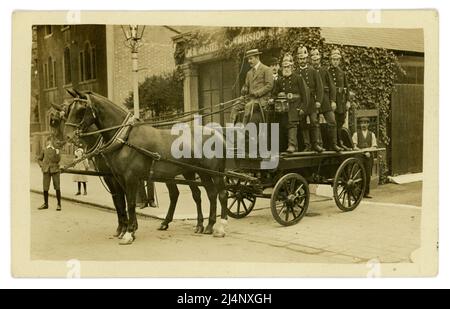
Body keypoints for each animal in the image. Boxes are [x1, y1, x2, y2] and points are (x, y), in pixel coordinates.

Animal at [62, 90, 229, 244]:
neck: (125, 137)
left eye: (81, 109)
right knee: (208, 194)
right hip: (197, 172)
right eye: (69, 109)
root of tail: (217, 133)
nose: (68, 136)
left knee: (221, 194)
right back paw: (206, 225)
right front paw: (130, 229)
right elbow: (124, 202)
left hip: (214, 172)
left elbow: (129, 202)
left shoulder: (130, 177)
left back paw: (220, 227)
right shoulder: (119, 177)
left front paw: (128, 232)